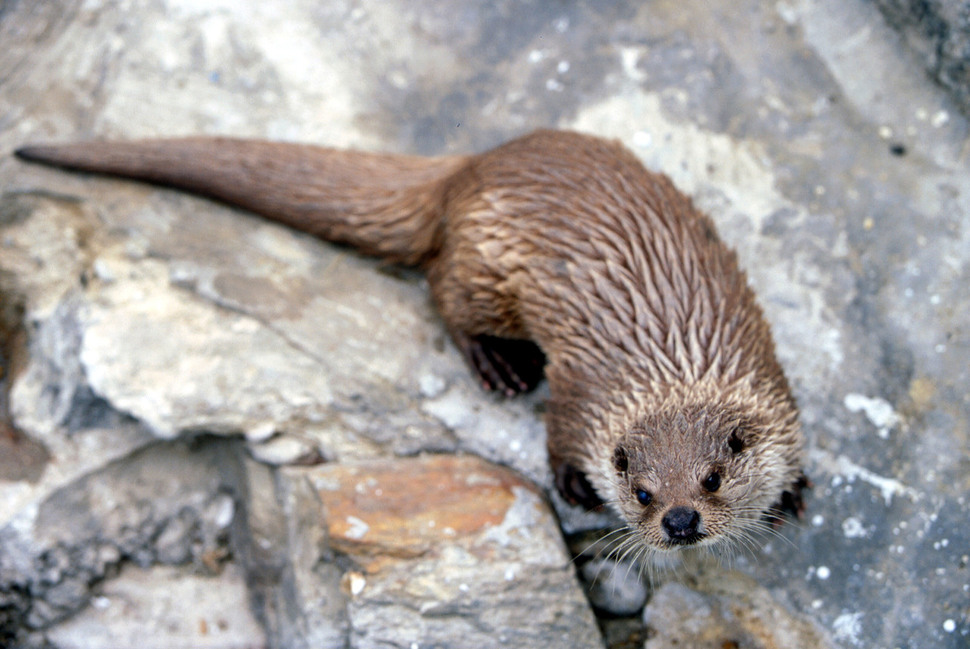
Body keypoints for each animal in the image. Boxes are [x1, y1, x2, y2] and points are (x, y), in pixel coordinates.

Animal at [13, 130, 800, 556]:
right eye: (640, 491)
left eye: (711, 478)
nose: (679, 519)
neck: (673, 365)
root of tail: (467, 169)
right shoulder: (582, 395)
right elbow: (559, 437)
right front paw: (574, 484)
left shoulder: (771, 385)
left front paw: (791, 493)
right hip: (484, 268)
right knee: (440, 289)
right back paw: (496, 364)